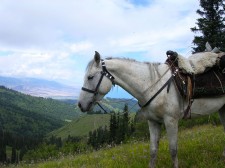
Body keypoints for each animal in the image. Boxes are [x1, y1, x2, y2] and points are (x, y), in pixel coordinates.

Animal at [78, 51, 225, 168]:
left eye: (90, 77)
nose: (80, 105)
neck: (153, 85)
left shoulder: (171, 121)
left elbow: (173, 150)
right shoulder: (153, 122)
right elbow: (153, 150)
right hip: (222, 109)